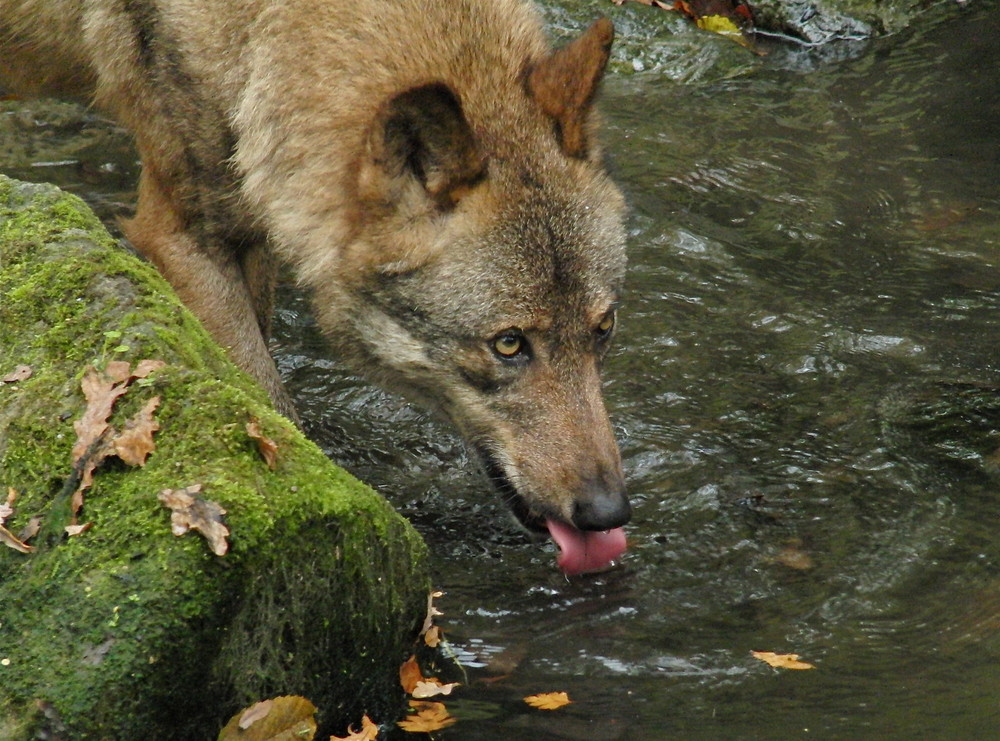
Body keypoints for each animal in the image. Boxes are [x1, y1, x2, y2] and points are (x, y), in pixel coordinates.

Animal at [1, 0, 632, 572]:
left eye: (603, 329)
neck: (261, 27)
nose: (608, 513)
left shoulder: (253, 222)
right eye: (508, 344)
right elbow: (267, 403)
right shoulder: (184, 237)